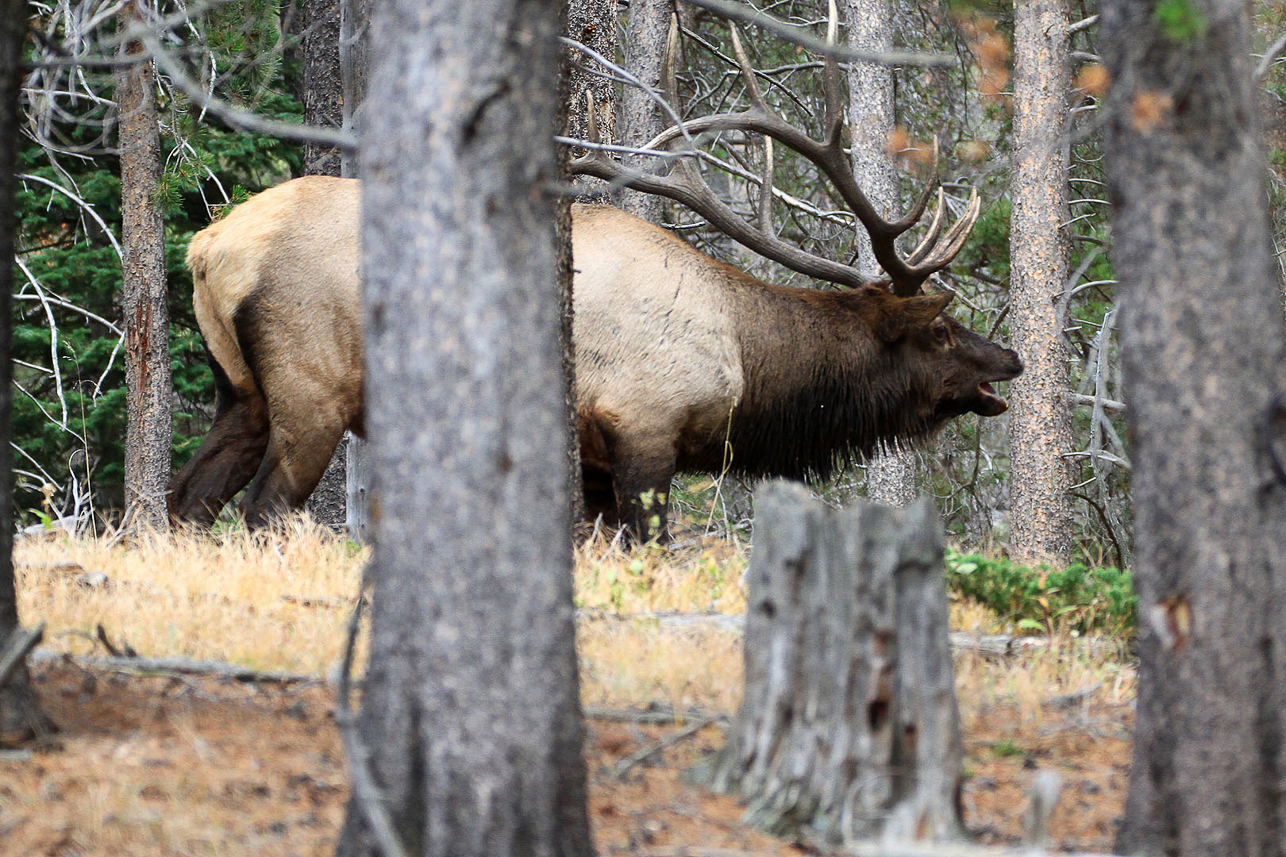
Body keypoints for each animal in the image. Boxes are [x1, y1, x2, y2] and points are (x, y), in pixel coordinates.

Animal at [165, 28, 1018, 540]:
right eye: (943, 330)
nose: (1009, 358)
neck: (747, 362)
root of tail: (209, 245)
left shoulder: (597, 462)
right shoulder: (644, 426)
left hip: (239, 389)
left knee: (186, 499)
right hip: (312, 387)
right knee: (263, 506)